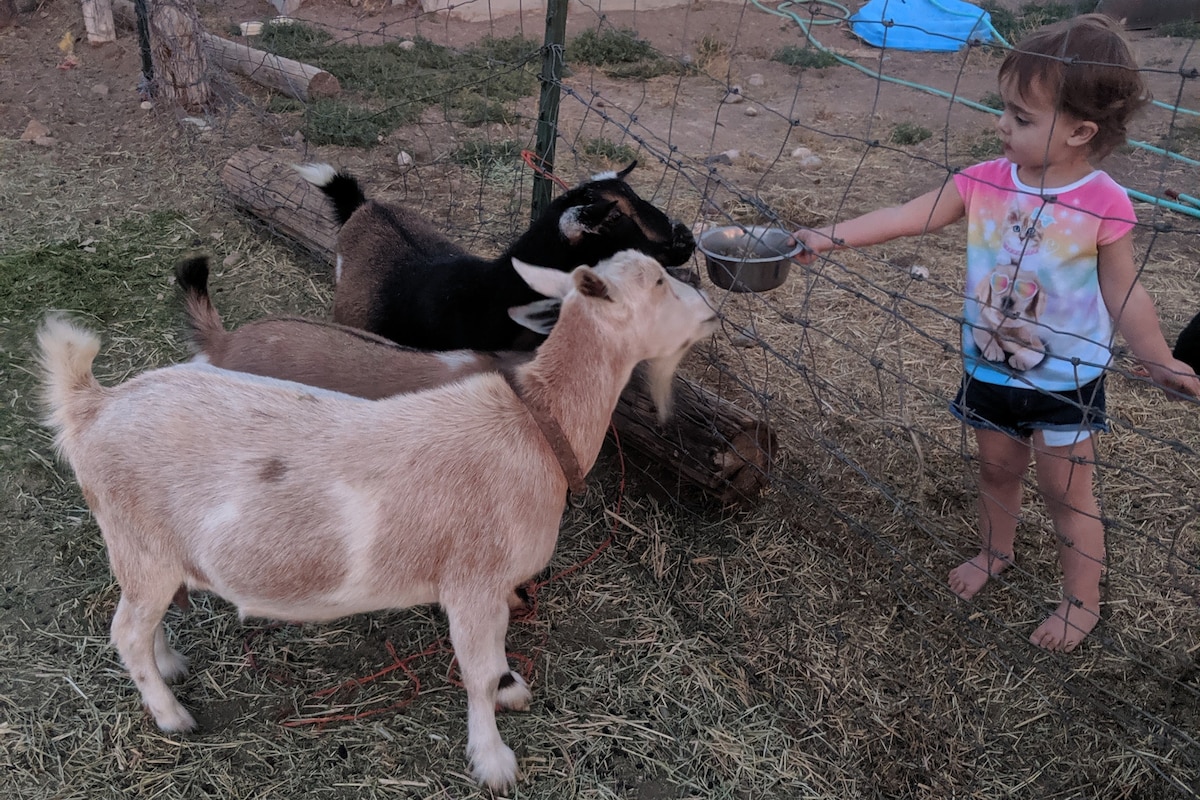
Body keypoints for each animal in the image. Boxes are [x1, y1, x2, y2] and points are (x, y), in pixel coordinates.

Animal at [37, 248, 715, 786]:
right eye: (658, 281)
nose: (710, 307)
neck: (537, 426)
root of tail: (92, 404)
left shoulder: (489, 585)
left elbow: (493, 661)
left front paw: (509, 693)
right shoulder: (472, 580)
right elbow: (477, 672)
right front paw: (493, 760)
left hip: (146, 549)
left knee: (139, 619)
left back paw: (169, 663)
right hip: (140, 541)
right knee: (125, 629)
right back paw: (172, 714)